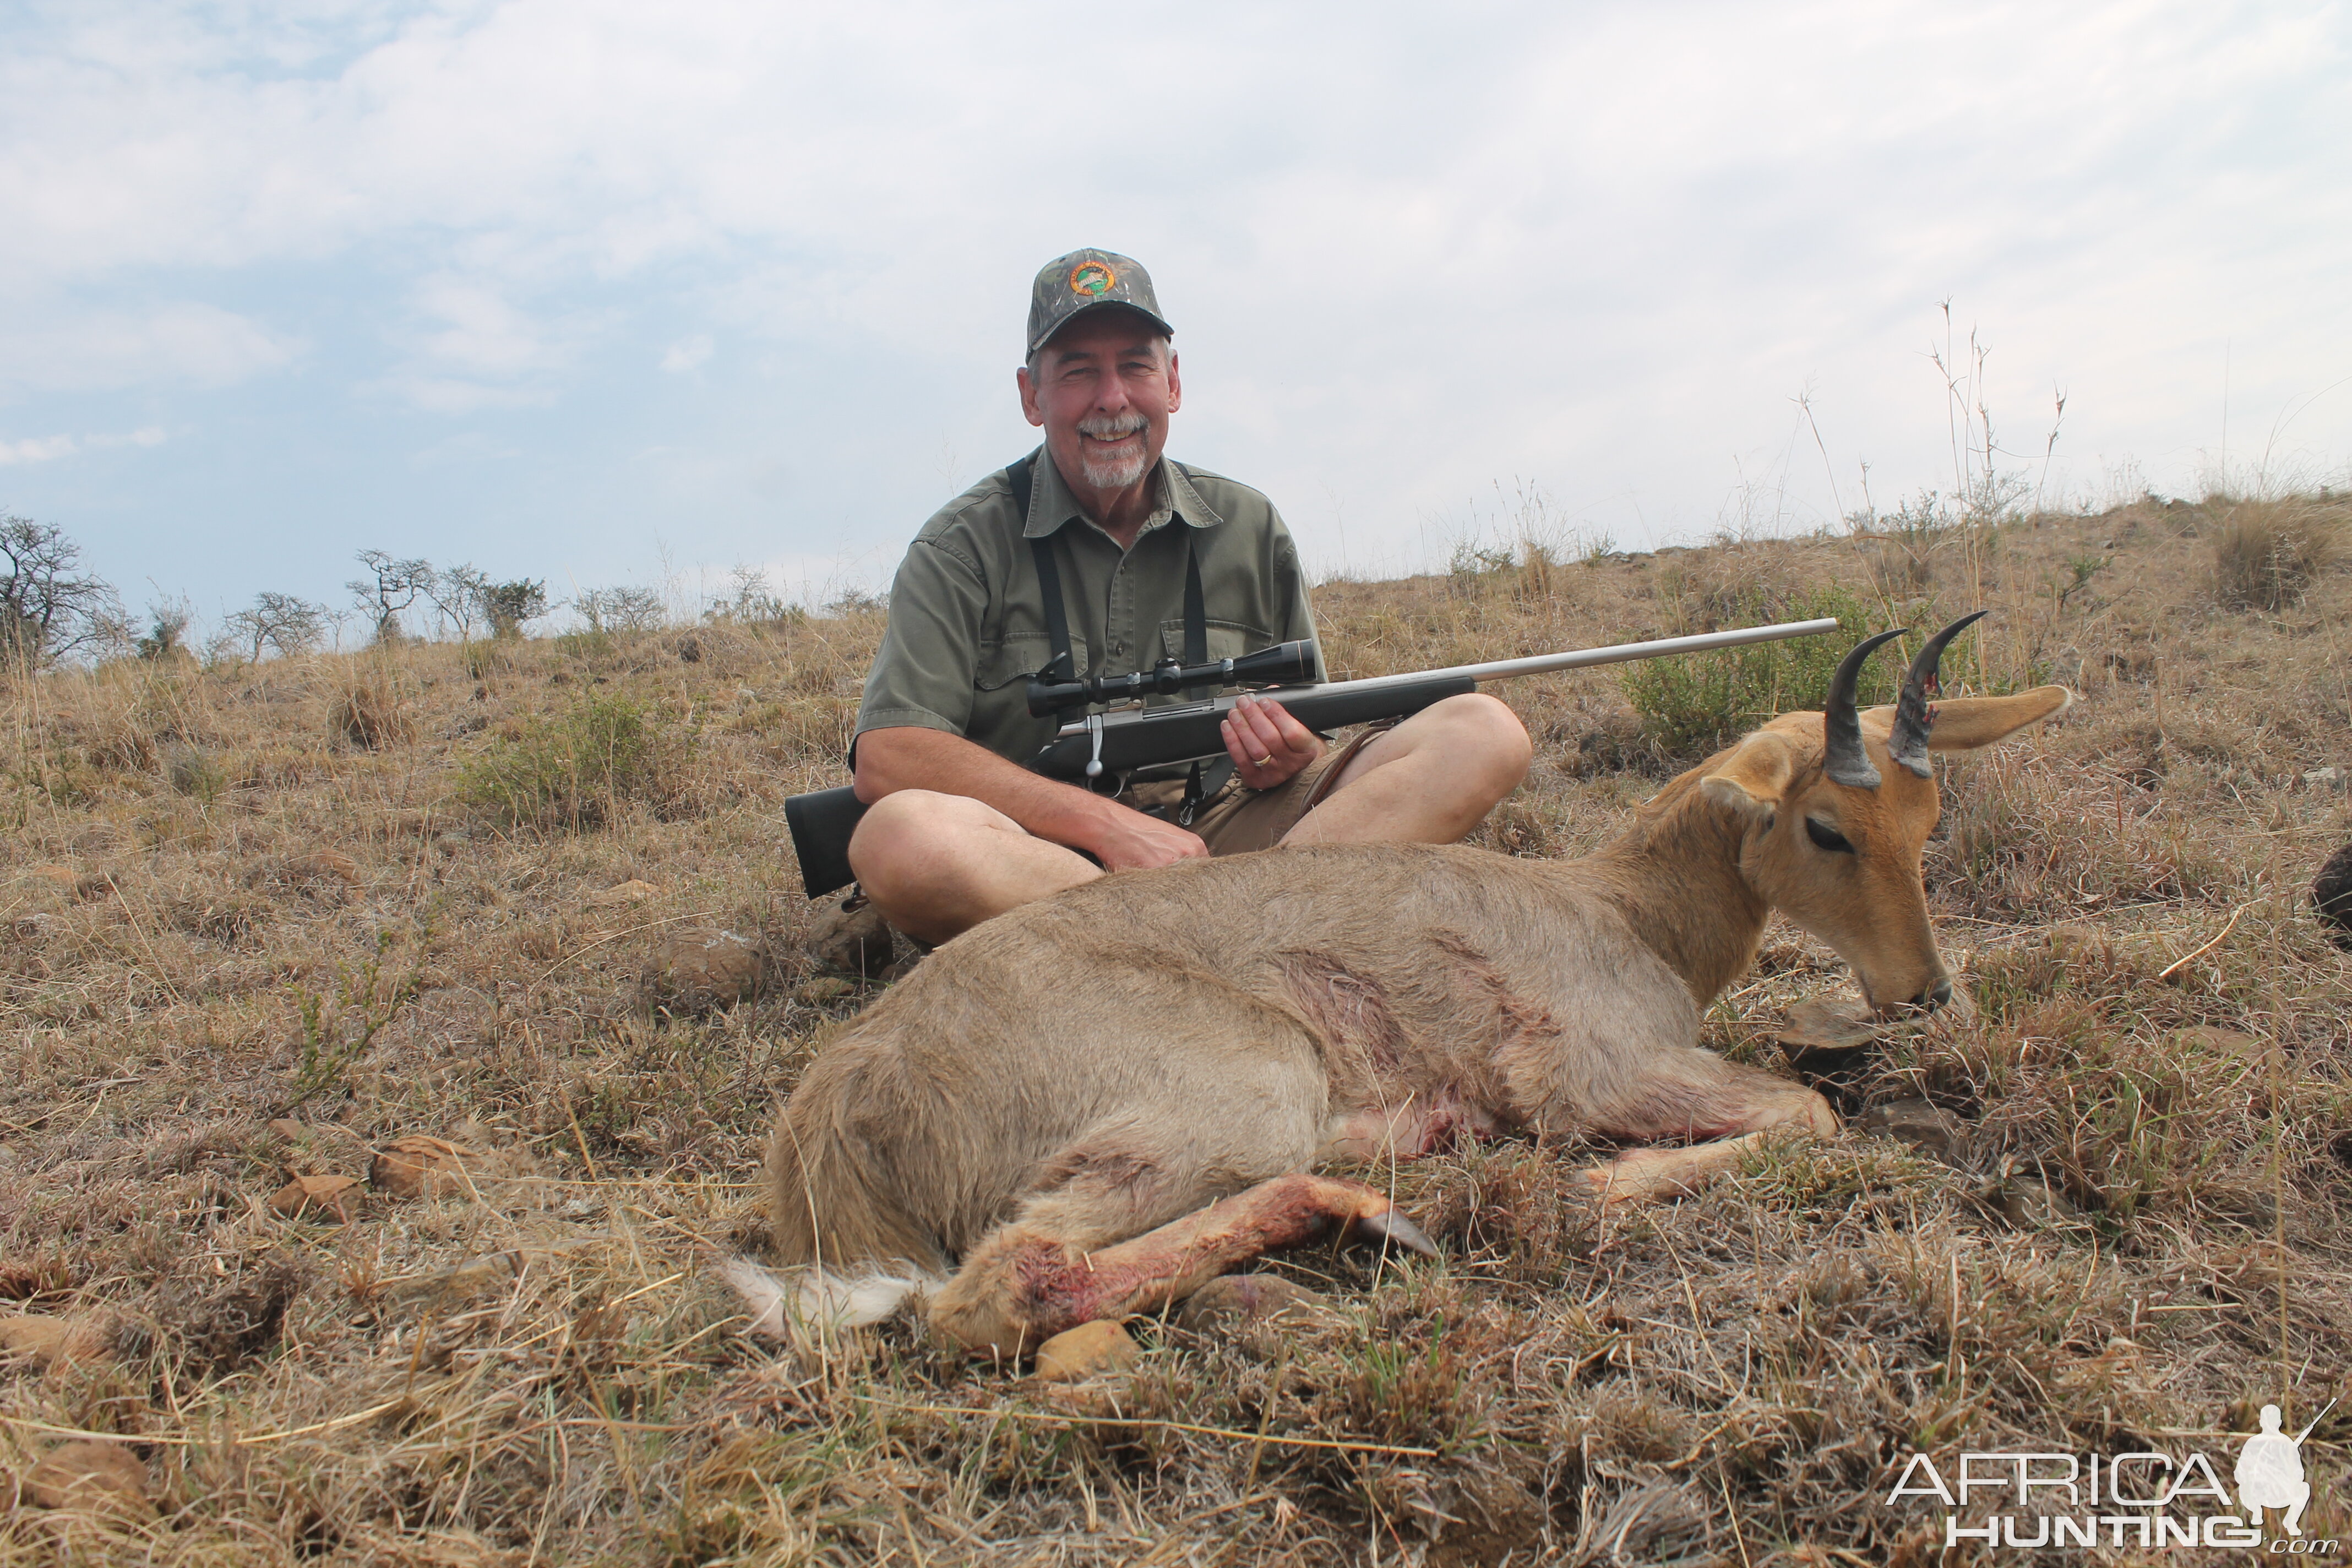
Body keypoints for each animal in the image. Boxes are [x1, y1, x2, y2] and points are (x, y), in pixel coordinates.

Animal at [757, 620, 2079, 1354]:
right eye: (1825, 825)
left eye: (1927, 816)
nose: (1927, 990)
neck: (1620, 907)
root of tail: (841, 1089)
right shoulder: (1600, 1076)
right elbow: (1806, 1111)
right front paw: (1601, 1185)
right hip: (1246, 1092)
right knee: (998, 1285)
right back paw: (1376, 1207)